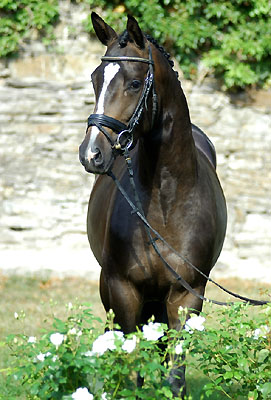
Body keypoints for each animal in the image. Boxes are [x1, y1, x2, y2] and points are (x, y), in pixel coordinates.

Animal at [79, 12, 228, 396]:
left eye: (134, 83)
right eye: (95, 79)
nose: (91, 154)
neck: (164, 203)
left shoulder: (186, 295)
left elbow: (174, 373)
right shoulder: (123, 289)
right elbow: (132, 364)